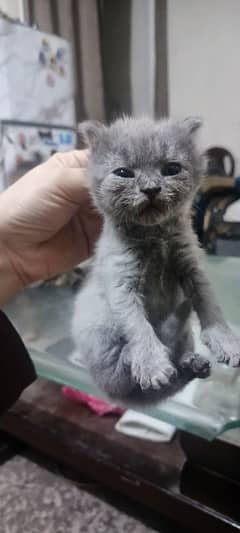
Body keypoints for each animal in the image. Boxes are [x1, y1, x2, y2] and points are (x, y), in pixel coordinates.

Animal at [72, 115, 240, 404]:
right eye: (124, 173)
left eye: (171, 168)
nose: (151, 189)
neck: (154, 235)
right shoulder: (120, 280)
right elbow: (137, 324)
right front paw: (151, 365)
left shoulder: (191, 265)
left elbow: (210, 305)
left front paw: (226, 341)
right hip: (98, 327)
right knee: (117, 378)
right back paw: (144, 358)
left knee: (176, 358)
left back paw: (192, 361)